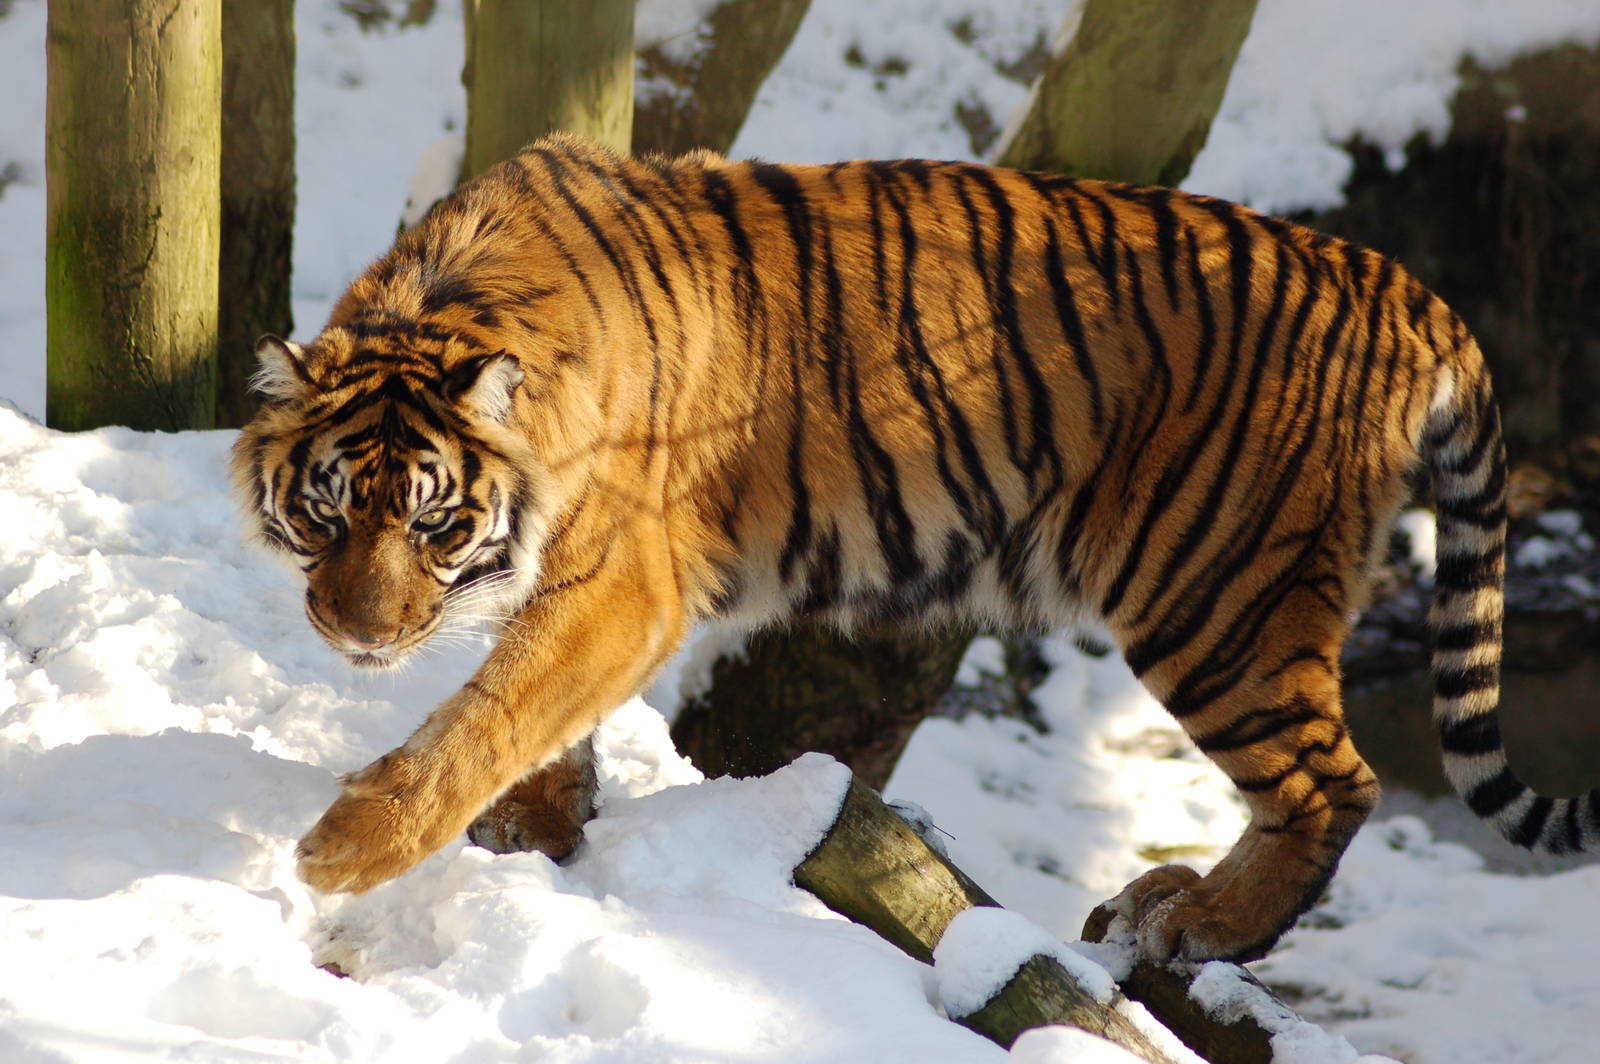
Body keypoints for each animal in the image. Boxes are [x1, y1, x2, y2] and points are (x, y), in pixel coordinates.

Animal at [232, 133, 1600, 963]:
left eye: (433, 520)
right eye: (329, 509)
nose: (355, 630)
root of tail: (1403, 285)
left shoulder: (623, 581)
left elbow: (491, 710)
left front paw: (341, 849)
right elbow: (530, 717)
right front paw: (541, 828)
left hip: (1216, 592)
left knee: (1334, 781)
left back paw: (1204, 924)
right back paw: (1165, 899)